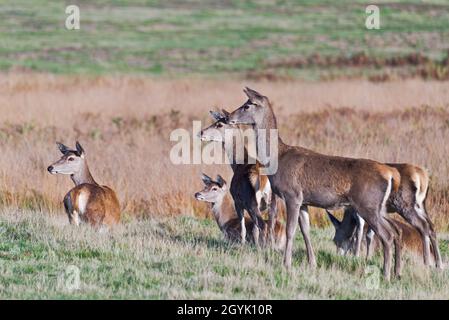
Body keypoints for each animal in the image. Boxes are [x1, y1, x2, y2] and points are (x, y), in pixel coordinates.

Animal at [199, 110, 276, 248]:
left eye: (219, 124)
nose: (201, 132)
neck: (237, 165)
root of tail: (263, 179)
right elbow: (253, 228)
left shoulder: (237, 201)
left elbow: (243, 228)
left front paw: (243, 245)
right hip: (272, 200)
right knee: (271, 224)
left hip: (251, 201)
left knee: (263, 225)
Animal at [228, 87, 402, 280]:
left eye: (248, 105)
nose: (228, 117)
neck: (278, 158)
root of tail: (390, 173)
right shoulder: (304, 201)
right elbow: (305, 230)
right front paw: (312, 263)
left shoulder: (292, 195)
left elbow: (290, 230)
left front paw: (286, 264)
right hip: (379, 207)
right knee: (395, 230)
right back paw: (396, 272)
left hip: (367, 204)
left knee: (387, 235)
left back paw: (386, 274)